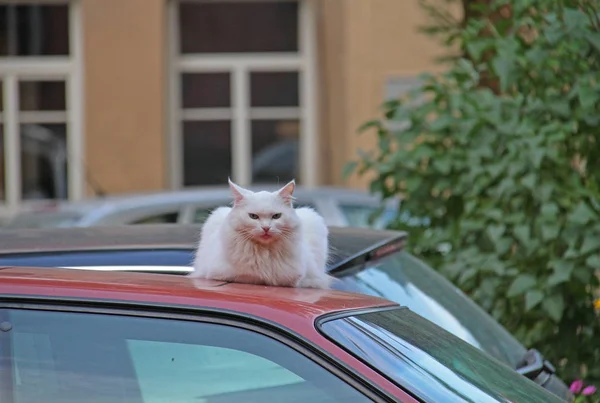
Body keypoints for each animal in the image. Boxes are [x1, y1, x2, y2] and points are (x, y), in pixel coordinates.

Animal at [190, 178, 332, 288]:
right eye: (253, 216)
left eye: (276, 216)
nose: (266, 228)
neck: (264, 252)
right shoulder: (218, 273)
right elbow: (250, 276)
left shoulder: (299, 278)